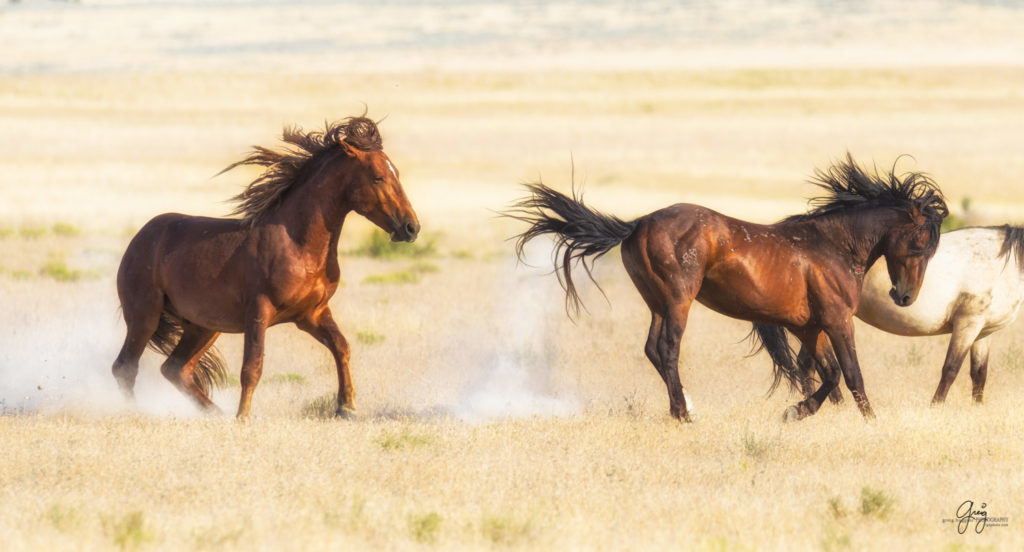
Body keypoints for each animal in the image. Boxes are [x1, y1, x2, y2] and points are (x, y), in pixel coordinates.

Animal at [110, 115, 417, 419]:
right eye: (378, 177)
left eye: (397, 174)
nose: (411, 227)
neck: (298, 245)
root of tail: (142, 236)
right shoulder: (259, 311)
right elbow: (252, 367)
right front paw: (243, 417)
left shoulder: (312, 314)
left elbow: (342, 347)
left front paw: (347, 407)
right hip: (145, 315)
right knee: (125, 367)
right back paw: (134, 413)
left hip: (203, 326)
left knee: (176, 368)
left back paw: (215, 413)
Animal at [507, 155, 946, 423]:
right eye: (919, 242)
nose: (904, 297)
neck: (833, 246)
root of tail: (637, 225)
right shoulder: (838, 321)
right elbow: (851, 374)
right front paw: (869, 420)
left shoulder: (809, 327)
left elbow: (828, 374)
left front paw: (798, 410)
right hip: (679, 302)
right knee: (668, 350)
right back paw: (683, 413)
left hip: (657, 304)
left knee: (652, 349)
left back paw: (684, 407)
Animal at [770, 223, 1024, 405]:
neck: (1003, 265)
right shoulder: (967, 325)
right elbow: (950, 370)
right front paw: (935, 408)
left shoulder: (983, 332)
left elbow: (979, 374)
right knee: (809, 364)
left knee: (807, 364)